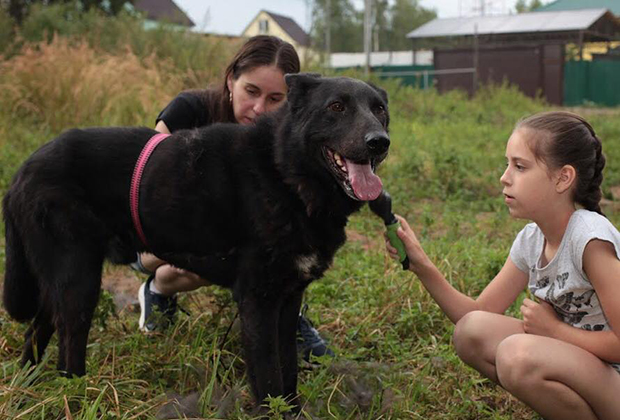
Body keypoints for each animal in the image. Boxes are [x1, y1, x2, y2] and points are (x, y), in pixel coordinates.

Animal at [2, 74, 390, 408]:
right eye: (336, 107)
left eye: (379, 110)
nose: (379, 142)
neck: (284, 171)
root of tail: (24, 168)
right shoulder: (258, 301)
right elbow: (268, 381)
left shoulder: (288, 298)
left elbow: (289, 373)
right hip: (79, 283)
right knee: (68, 354)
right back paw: (75, 397)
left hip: (60, 283)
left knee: (36, 332)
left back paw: (27, 391)